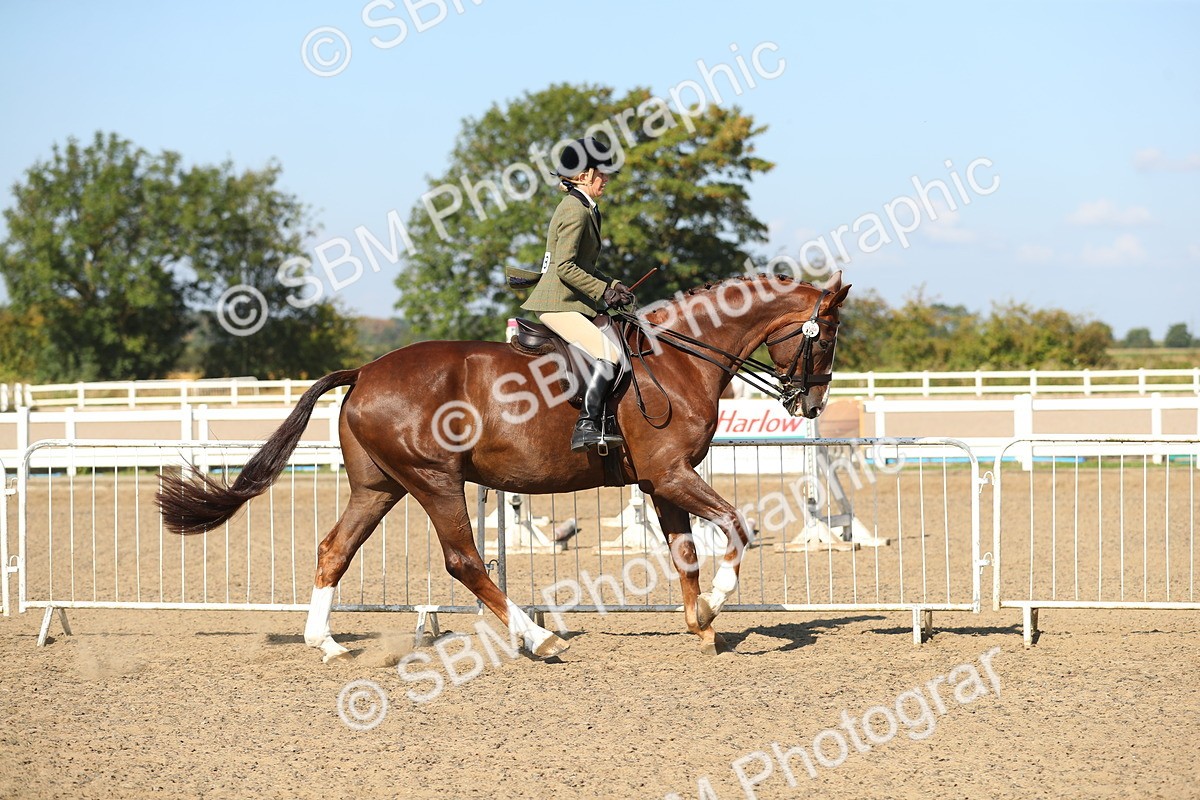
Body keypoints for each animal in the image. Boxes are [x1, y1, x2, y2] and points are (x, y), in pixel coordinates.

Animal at [157, 271, 850, 661]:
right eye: (827, 339)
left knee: (336, 549)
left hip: (380, 487)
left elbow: (684, 553)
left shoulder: (661, 481)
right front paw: (716, 605)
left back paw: (324, 643)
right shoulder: (672, 474)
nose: (811, 403)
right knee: (463, 560)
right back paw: (538, 639)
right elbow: (735, 526)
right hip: (434, 480)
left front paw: (700, 622)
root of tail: (366, 371)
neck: (676, 360)